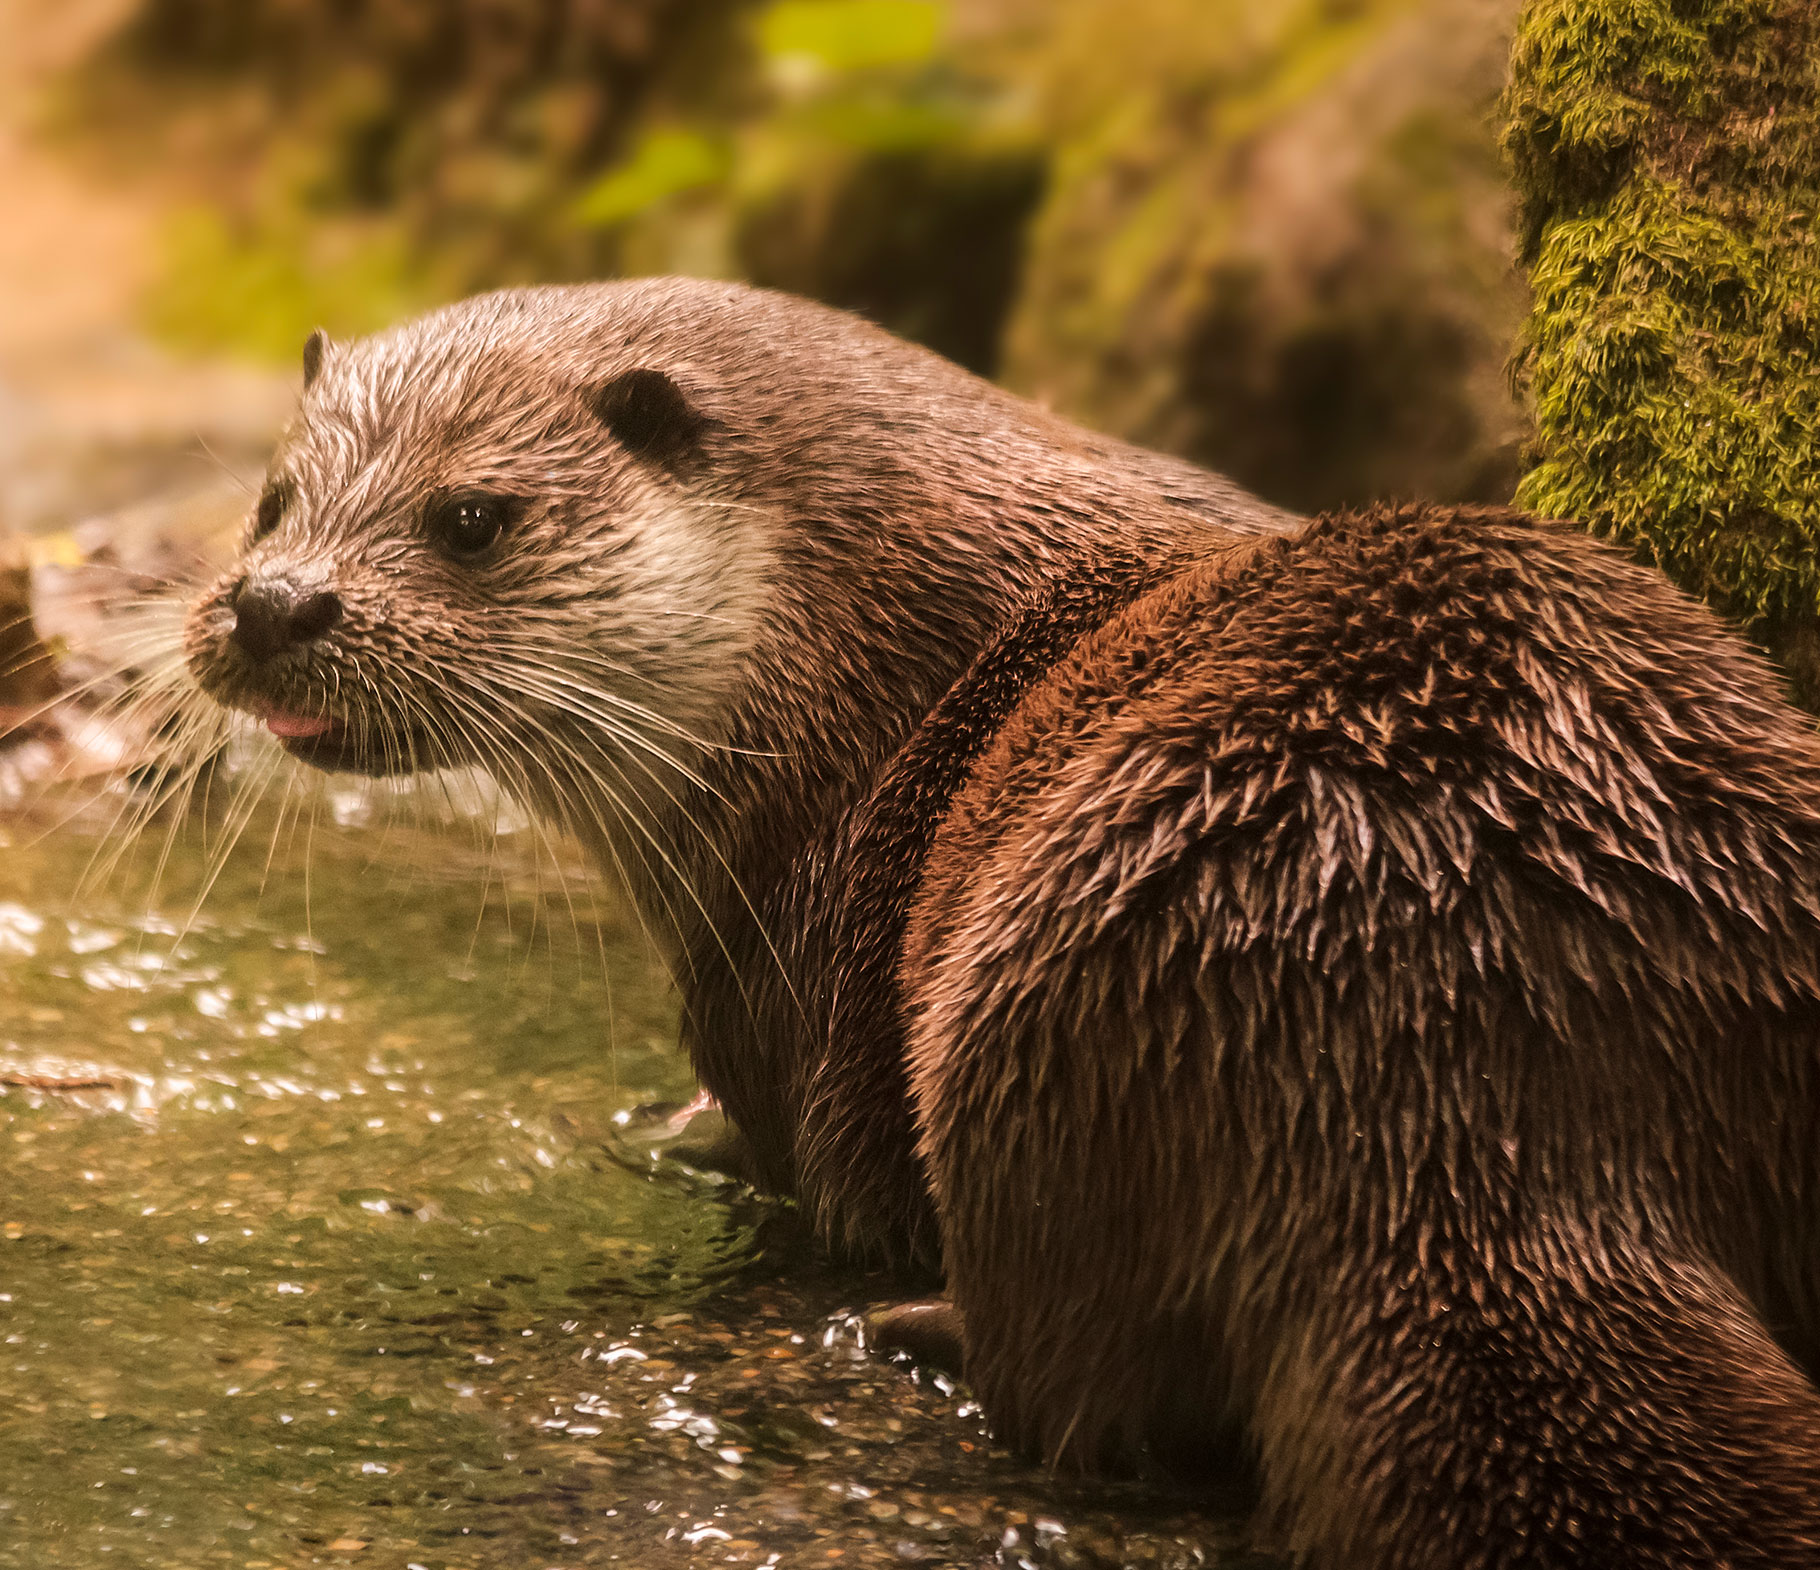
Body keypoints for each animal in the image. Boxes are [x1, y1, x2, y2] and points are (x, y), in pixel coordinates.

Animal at [181, 278, 1820, 1567]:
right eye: (268, 501)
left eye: (470, 519)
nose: (274, 601)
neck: (827, 641)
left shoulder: (769, 956)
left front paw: (683, 1132)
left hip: (1040, 998)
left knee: (1077, 1374)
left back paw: (927, 1330)